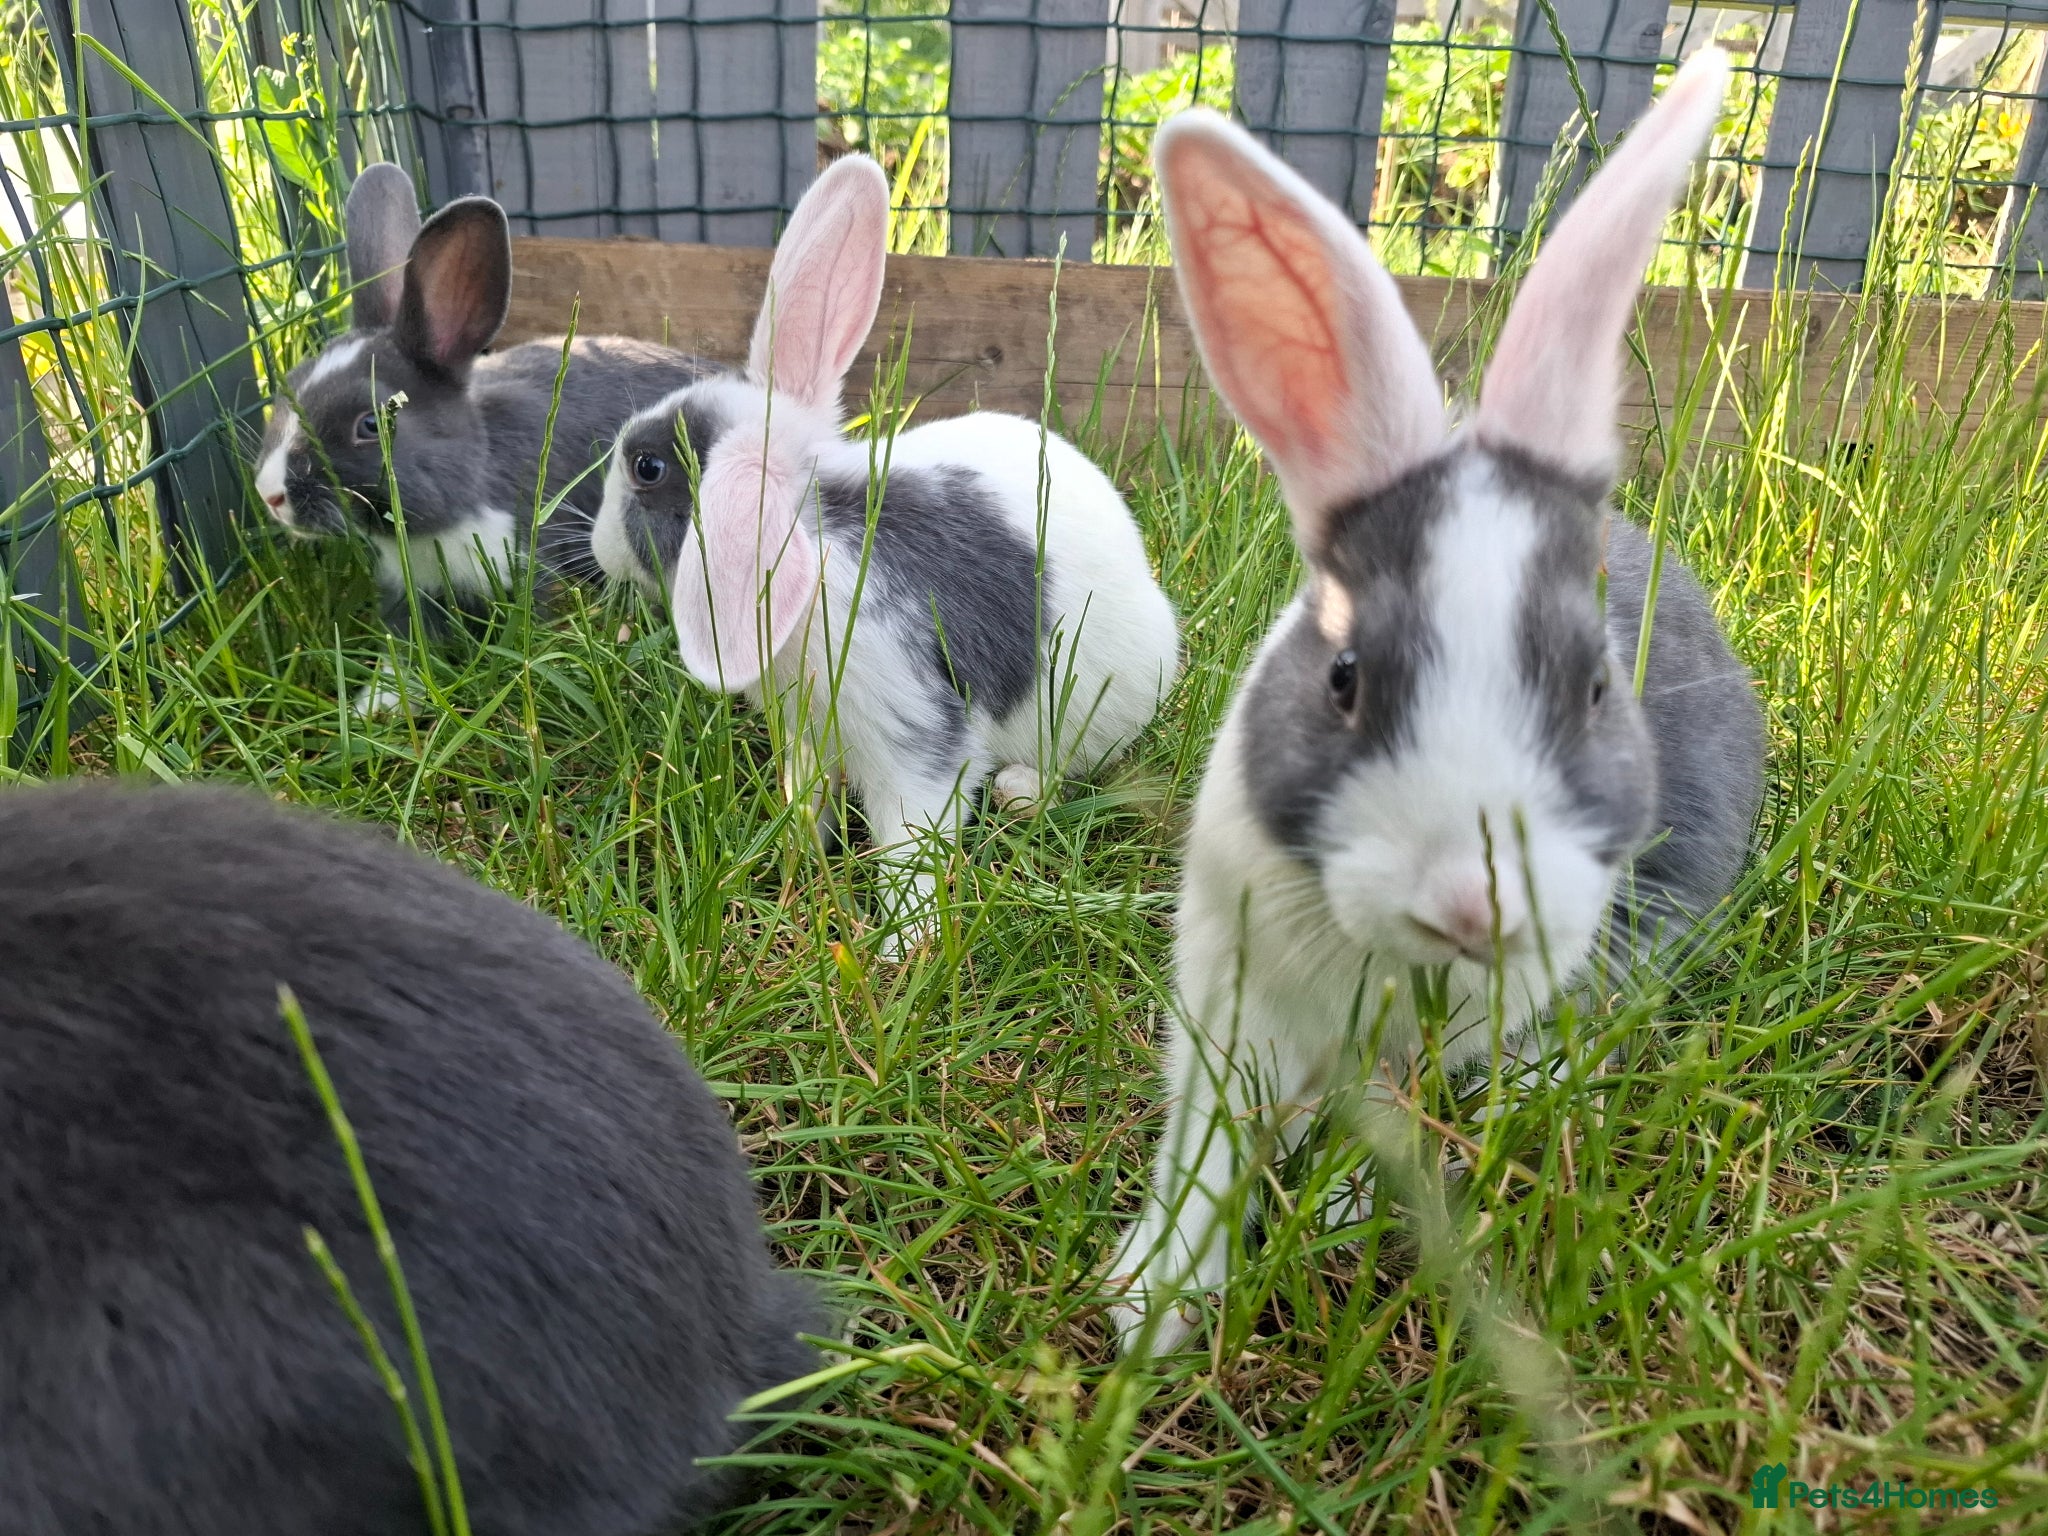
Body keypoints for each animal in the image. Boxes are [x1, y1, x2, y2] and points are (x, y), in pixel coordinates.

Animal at [252, 162, 721, 712]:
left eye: (371, 424)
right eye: (291, 385)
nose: (269, 494)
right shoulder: (407, 592)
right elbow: (407, 648)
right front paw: (378, 702)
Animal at [589, 155, 1181, 954]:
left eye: (647, 468)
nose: (598, 546)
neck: (808, 544)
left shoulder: (912, 731)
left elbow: (912, 841)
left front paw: (906, 943)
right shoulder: (808, 735)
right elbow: (808, 799)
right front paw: (788, 856)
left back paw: (1020, 793)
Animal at [1107, 47, 1766, 1355]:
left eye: (1593, 684)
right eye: (1342, 677)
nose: (1473, 902)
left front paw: (1343, 1212)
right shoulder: (1227, 995)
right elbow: (1207, 1146)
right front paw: (1149, 1308)